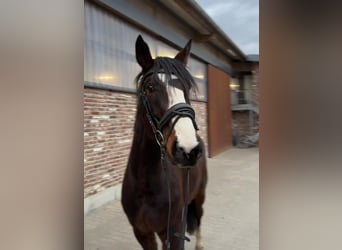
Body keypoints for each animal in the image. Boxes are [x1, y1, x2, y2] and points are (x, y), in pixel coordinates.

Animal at [123, 35, 208, 250]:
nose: (188, 149)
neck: (146, 185)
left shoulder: (173, 233)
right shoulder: (143, 233)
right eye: (150, 88)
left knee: (199, 218)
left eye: (187, 88)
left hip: (199, 195)